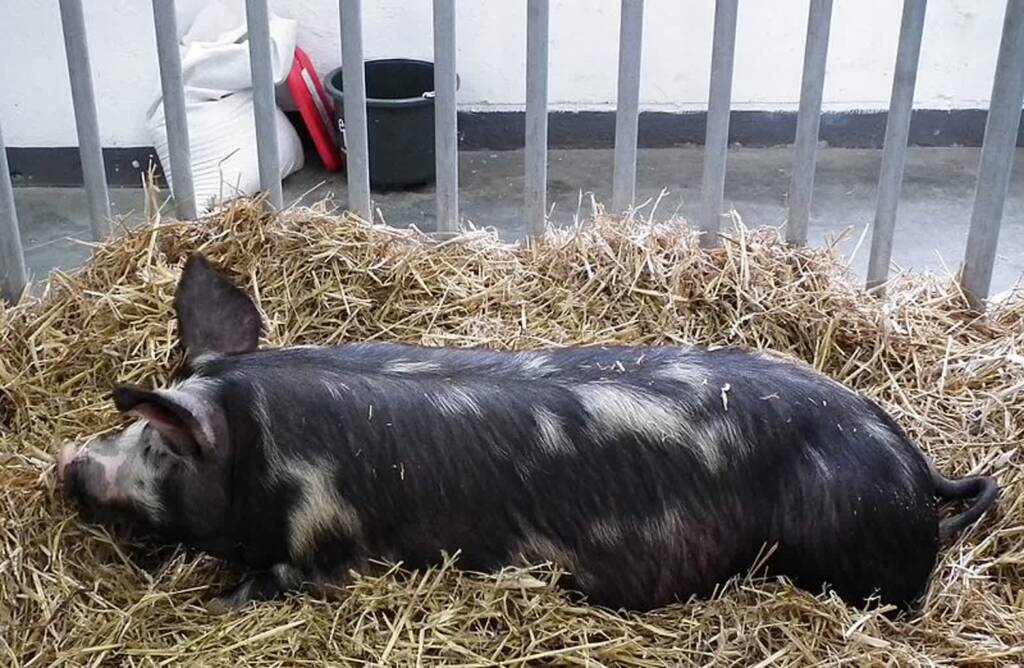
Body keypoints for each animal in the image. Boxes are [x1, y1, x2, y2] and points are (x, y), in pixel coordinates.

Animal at [57, 253, 999, 613]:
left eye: (158, 447)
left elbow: (277, 580)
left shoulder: (328, 550)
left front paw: (215, 601)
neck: (275, 446)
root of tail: (916, 467)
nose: (68, 466)